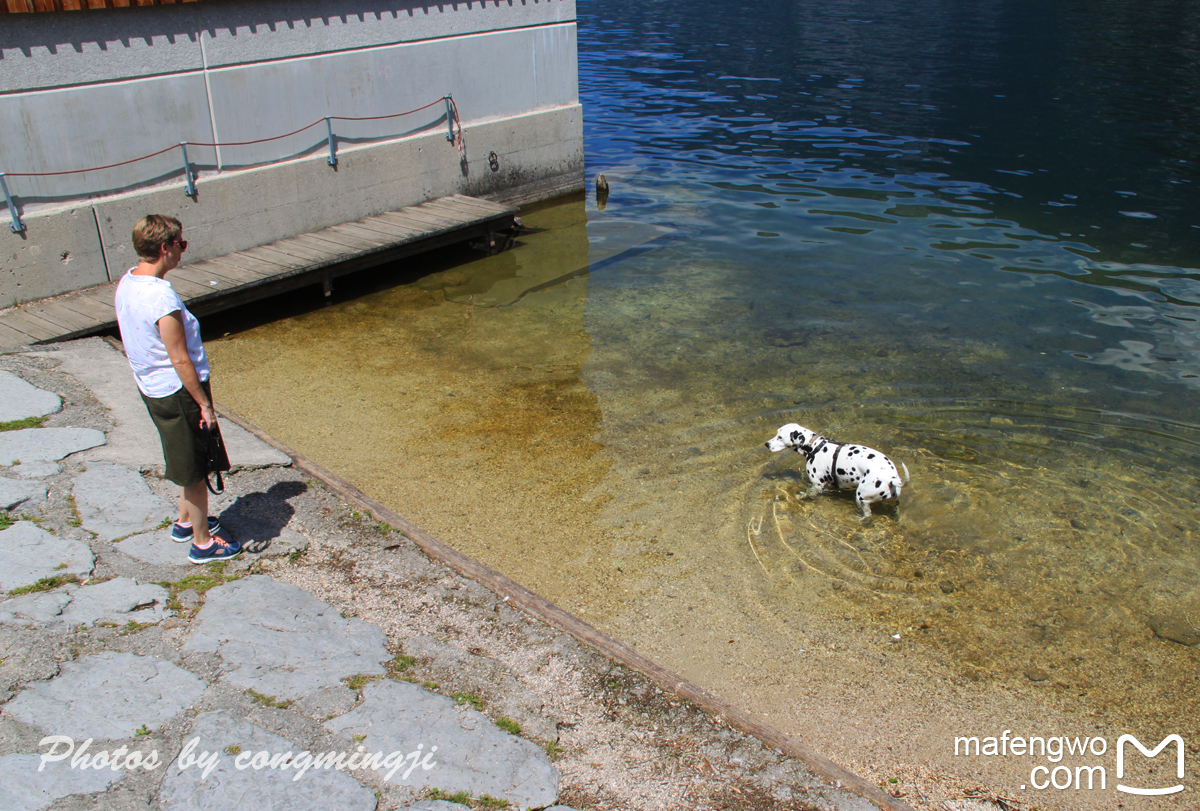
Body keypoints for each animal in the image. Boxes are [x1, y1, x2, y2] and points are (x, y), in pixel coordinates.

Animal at [768, 424, 907, 520]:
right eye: (776, 433)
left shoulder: (817, 485)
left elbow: (808, 493)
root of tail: (891, 478)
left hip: (861, 496)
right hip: (892, 499)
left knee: (867, 514)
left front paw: (799, 496)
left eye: (780, 437)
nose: (766, 444)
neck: (815, 446)